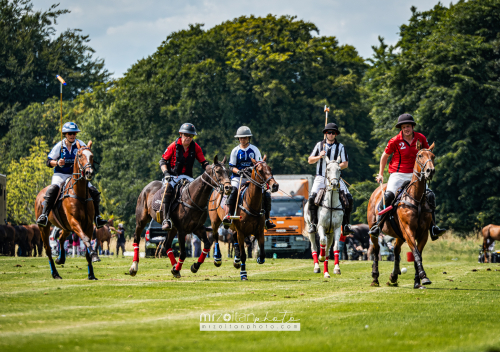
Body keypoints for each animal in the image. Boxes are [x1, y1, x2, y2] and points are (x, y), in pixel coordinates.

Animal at [35, 141, 99, 280]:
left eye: (92, 155)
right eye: (79, 155)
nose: (89, 172)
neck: (80, 194)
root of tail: (40, 194)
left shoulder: (88, 225)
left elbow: (87, 245)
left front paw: (91, 273)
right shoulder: (75, 222)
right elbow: (86, 240)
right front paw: (94, 255)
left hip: (66, 227)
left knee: (60, 238)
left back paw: (61, 259)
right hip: (44, 227)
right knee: (48, 249)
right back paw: (55, 273)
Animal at [366, 140, 436, 288]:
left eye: (433, 156)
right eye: (420, 155)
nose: (430, 171)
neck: (417, 199)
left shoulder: (423, 233)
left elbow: (417, 255)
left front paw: (417, 282)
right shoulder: (408, 230)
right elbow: (415, 253)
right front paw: (423, 277)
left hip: (399, 234)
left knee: (396, 250)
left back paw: (393, 276)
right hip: (374, 229)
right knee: (376, 250)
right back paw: (375, 278)